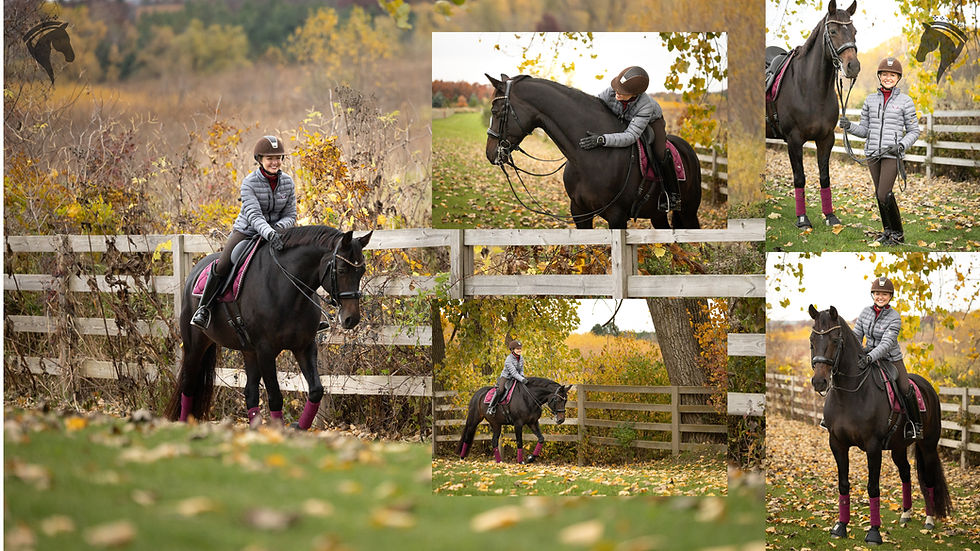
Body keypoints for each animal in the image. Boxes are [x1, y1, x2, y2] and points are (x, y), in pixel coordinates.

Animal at [164, 227, 372, 429]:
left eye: (361, 270)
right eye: (342, 270)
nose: (351, 319)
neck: (287, 288)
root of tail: (195, 271)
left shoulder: (304, 347)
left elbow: (316, 391)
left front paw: (298, 427)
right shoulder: (266, 350)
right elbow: (275, 398)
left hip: (249, 351)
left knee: (250, 392)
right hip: (196, 346)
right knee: (188, 385)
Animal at [484, 74, 702, 230]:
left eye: (496, 111)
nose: (490, 153)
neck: (589, 159)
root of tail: (689, 149)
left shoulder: (617, 217)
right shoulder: (580, 212)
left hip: (688, 212)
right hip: (657, 215)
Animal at [766, 0, 860, 229]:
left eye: (854, 31)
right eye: (833, 31)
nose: (853, 66)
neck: (810, 88)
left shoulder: (826, 138)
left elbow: (824, 176)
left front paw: (830, 216)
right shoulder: (793, 140)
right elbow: (799, 178)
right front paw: (802, 219)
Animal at [808, 305, 952, 545]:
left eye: (835, 340)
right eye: (812, 339)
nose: (819, 382)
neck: (851, 394)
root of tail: (928, 387)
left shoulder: (873, 446)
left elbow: (873, 487)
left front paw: (874, 532)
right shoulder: (837, 444)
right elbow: (843, 484)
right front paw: (841, 527)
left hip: (928, 446)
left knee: (930, 478)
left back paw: (929, 520)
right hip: (899, 447)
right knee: (906, 473)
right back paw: (906, 514)